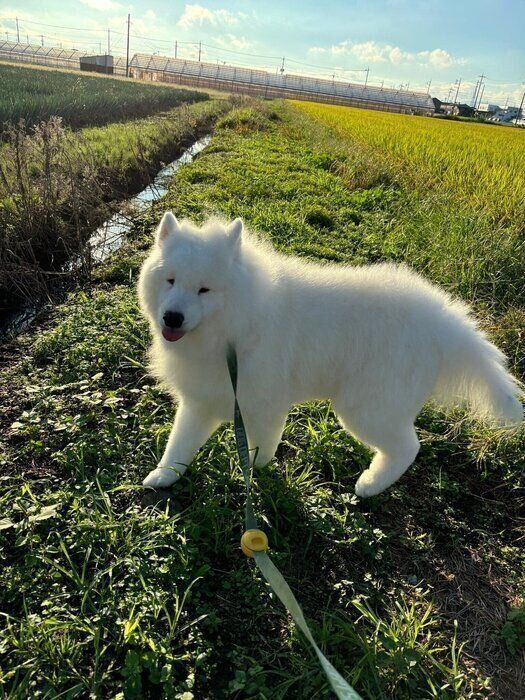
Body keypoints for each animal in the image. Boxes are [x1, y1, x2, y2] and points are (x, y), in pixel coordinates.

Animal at [137, 213, 520, 498]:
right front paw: (163, 476)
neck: (235, 324)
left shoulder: (264, 406)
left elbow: (261, 449)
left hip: (366, 408)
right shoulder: (202, 400)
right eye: (170, 281)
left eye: (204, 290)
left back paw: (369, 485)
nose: (172, 318)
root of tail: (443, 322)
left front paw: (253, 476)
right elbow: (179, 445)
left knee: (409, 447)